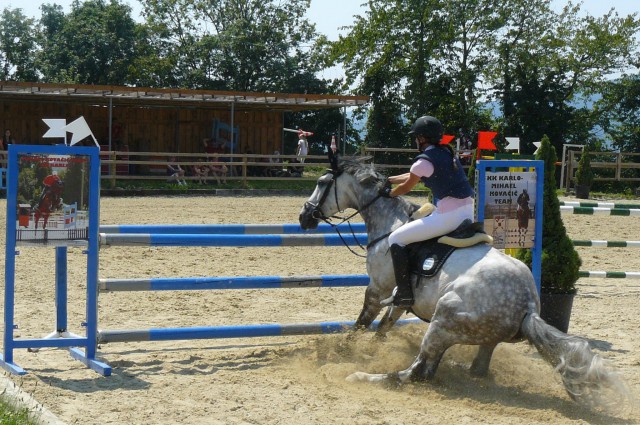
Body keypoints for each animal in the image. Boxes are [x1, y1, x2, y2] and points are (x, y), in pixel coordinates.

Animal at [298, 155, 624, 408]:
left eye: (321, 183)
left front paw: (342, 354)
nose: (304, 217)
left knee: (418, 372)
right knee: (473, 369)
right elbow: (384, 327)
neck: (390, 224)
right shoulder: (400, 297)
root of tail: (528, 305)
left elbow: (361, 324)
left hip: (443, 320)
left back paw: (363, 376)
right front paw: (372, 350)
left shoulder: (378, 289)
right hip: (480, 336)